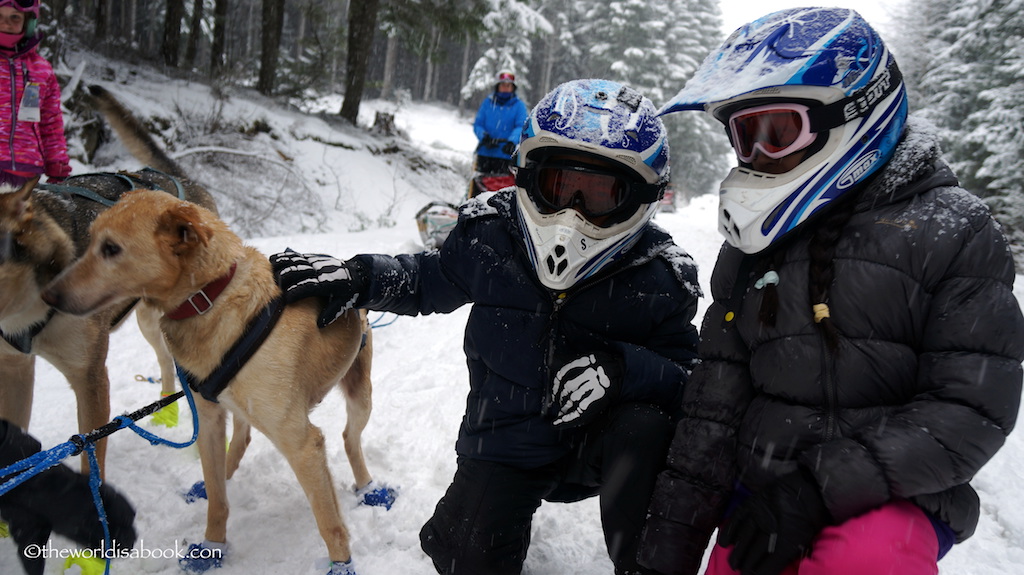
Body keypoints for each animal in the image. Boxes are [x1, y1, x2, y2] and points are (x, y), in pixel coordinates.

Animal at [0, 83, 216, 470]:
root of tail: (185, 181)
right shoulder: (14, 368)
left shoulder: (90, 379)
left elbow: (91, 457)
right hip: (149, 321)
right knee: (166, 364)